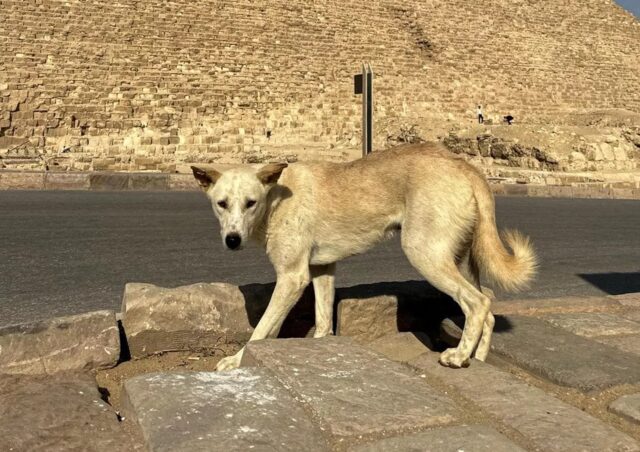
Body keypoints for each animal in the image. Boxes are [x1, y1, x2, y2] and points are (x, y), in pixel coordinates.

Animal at [192, 142, 536, 370]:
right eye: (221, 204)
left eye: (250, 203)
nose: (232, 240)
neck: (276, 196)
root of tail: (462, 164)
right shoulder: (322, 269)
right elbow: (321, 320)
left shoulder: (292, 277)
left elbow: (262, 329)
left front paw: (236, 360)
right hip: (462, 260)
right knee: (488, 309)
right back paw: (478, 359)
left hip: (425, 254)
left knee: (477, 303)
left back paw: (459, 356)